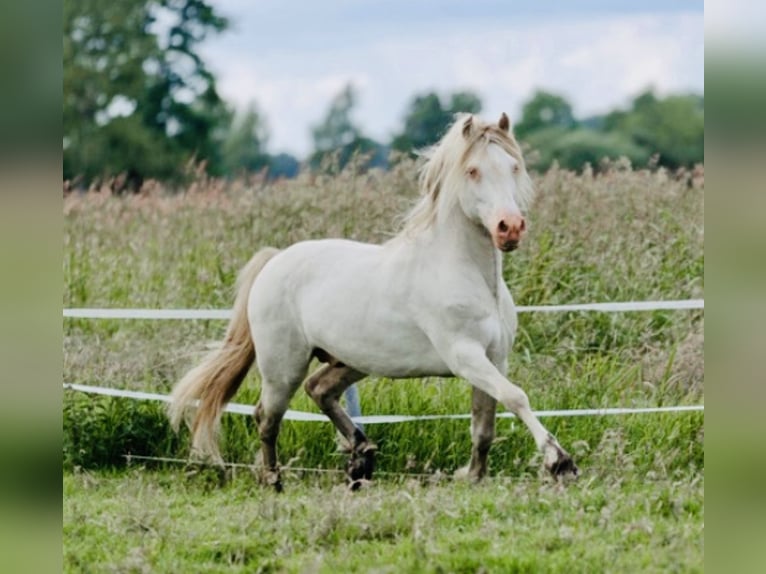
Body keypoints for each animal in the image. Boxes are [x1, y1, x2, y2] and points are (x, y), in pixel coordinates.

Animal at [168, 112, 576, 490]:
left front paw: (473, 475)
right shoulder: (465, 355)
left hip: (350, 361)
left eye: (513, 166)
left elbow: (485, 424)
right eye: (473, 170)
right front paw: (560, 463)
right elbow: (516, 397)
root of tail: (275, 260)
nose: (510, 227)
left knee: (317, 389)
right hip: (282, 367)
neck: (470, 276)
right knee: (266, 417)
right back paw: (275, 480)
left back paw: (361, 456)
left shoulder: (494, 357)